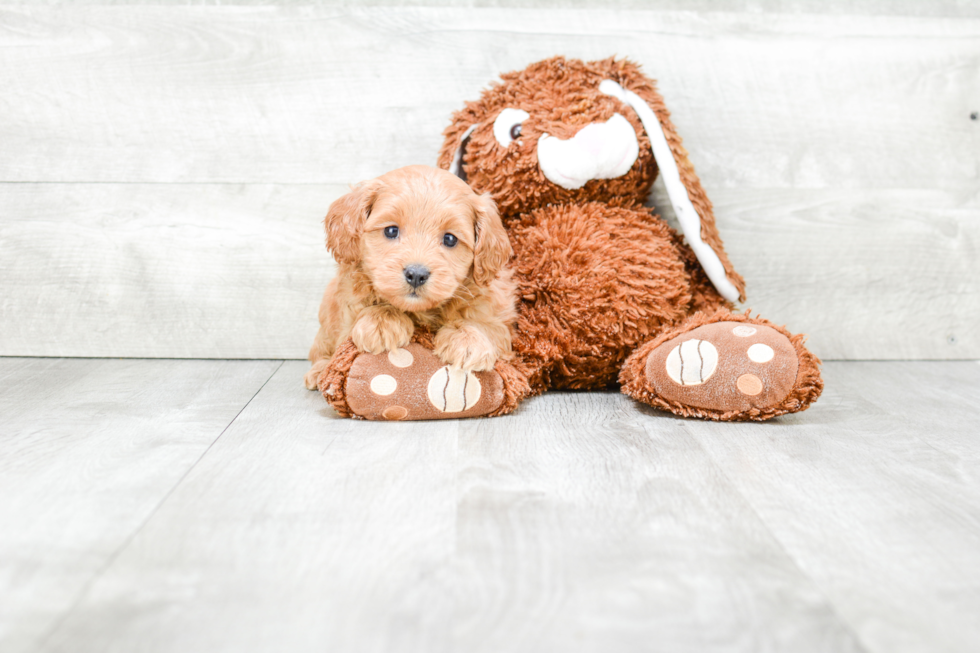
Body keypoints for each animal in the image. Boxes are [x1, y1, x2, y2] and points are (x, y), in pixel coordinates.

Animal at [304, 164, 520, 388]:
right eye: (391, 230)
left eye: (450, 239)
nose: (416, 274)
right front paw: (382, 321)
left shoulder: (499, 316)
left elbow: (486, 325)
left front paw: (468, 339)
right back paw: (319, 371)